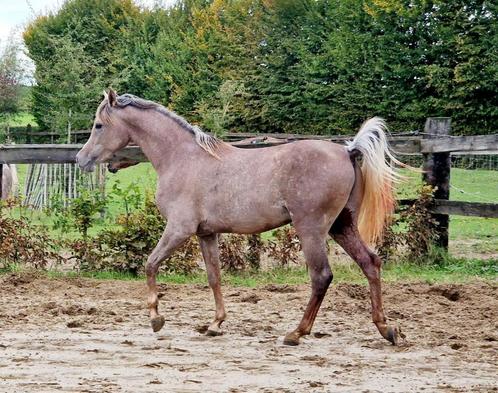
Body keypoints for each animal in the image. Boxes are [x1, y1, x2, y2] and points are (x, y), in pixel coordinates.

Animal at [79, 89, 404, 346]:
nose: (81, 159)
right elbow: (214, 276)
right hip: (342, 226)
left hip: (311, 229)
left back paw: (296, 333)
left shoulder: (179, 229)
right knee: (370, 263)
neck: (183, 158)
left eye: (98, 125)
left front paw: (156, 319)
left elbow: (150, 264)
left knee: (321, 276)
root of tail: (348, 150)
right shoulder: (206, 233)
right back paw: (387, 329)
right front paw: (215, 324)